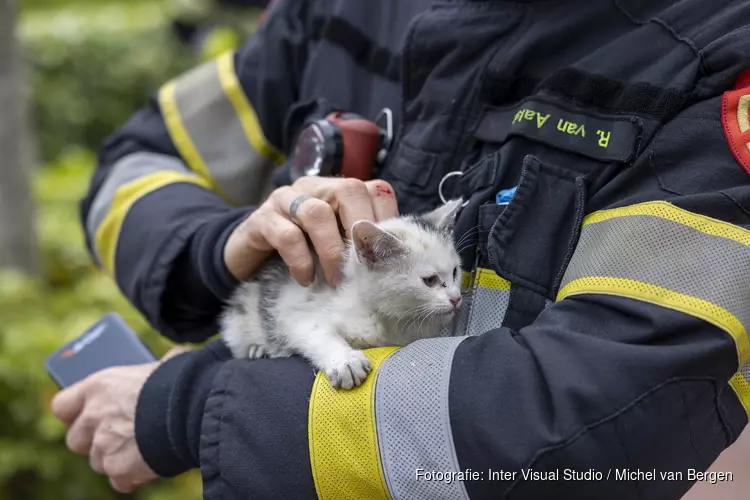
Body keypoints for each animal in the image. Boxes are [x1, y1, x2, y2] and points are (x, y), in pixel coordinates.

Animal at [220, 197, 464, 388]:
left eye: (455, 271)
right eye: (430, 281)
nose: (456, 298)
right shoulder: (294, 310)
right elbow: (316, 331)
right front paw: (345, 361)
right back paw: (257, 348)